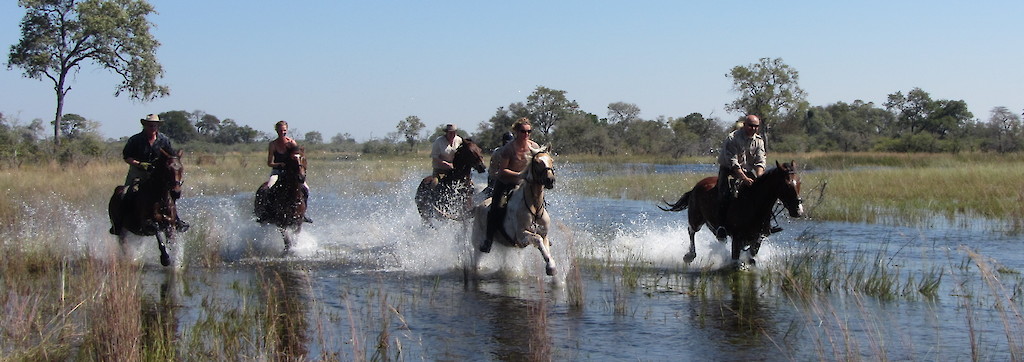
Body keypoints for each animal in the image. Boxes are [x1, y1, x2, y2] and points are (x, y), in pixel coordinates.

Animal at [468, 148, 557, 276]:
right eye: (537, 162)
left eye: (551, 160)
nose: (550, 180)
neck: (534, 208)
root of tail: (477, 207)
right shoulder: (521, 236)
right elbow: (537, 239)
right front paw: (550, 268)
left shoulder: (544, 235)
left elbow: (545, 247)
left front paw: (551, 266)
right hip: (478, 242)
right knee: (477, 258)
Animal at [659, 159, 802, 267]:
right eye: (786, 184)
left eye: (799, 181)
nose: (798, 210)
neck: (753, 202)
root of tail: (696, 186)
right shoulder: (737, 238)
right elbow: (735, 259)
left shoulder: (758, 237)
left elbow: (752, 257)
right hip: (696, 219)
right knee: (691, 232)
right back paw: (689, 256)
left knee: (719, 237)